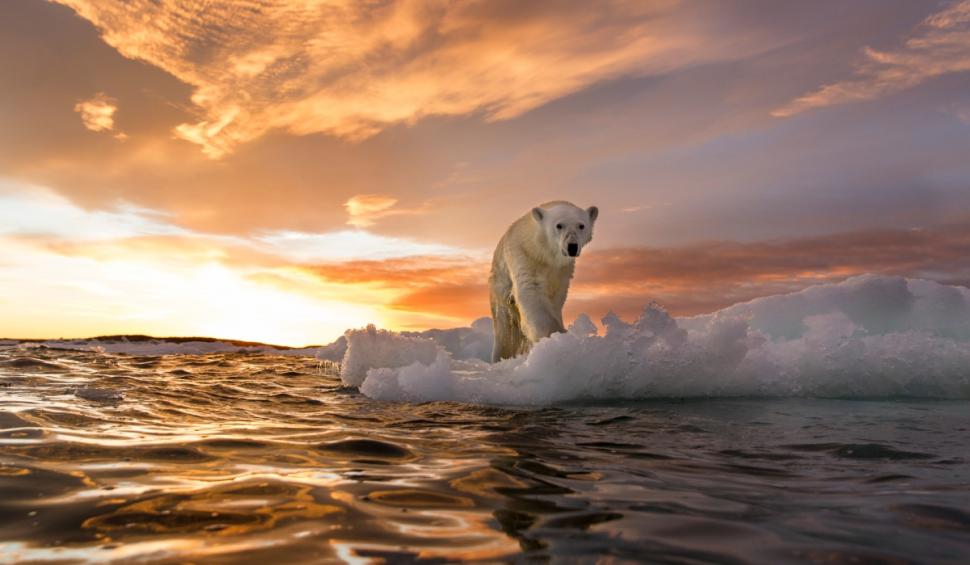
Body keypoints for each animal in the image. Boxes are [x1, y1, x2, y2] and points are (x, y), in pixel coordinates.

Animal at [488, 200, 592, 362]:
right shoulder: (525, 256)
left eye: (581, 225)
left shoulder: (562, 270)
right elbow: (532, 291)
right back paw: (501, 356)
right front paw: (554, 337)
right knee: (505, 329)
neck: (544, 253)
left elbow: (556, 297)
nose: (572, 246)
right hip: (500, 288)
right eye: (559, 225)